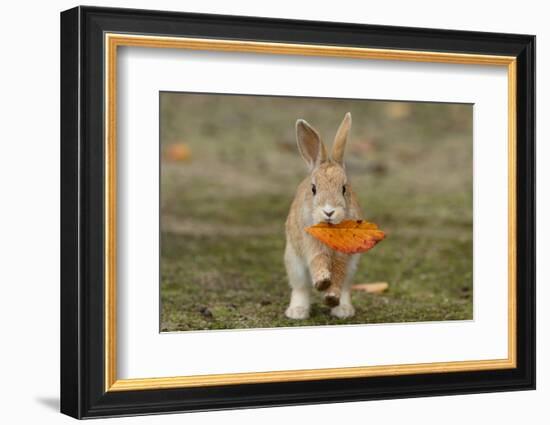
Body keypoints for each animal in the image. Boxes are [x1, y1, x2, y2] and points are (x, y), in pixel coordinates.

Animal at [286, 112, 364, 318]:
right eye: (313, 189)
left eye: (344, 188)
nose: (329, 211)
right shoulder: (311, 245)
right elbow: (317, 260)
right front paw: (322, 282)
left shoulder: (344, 255)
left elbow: (338, 274)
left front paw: (330, 297)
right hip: (294, 263)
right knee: (301, 288)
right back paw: (297, 312)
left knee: (345, 287)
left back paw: (343, 311)